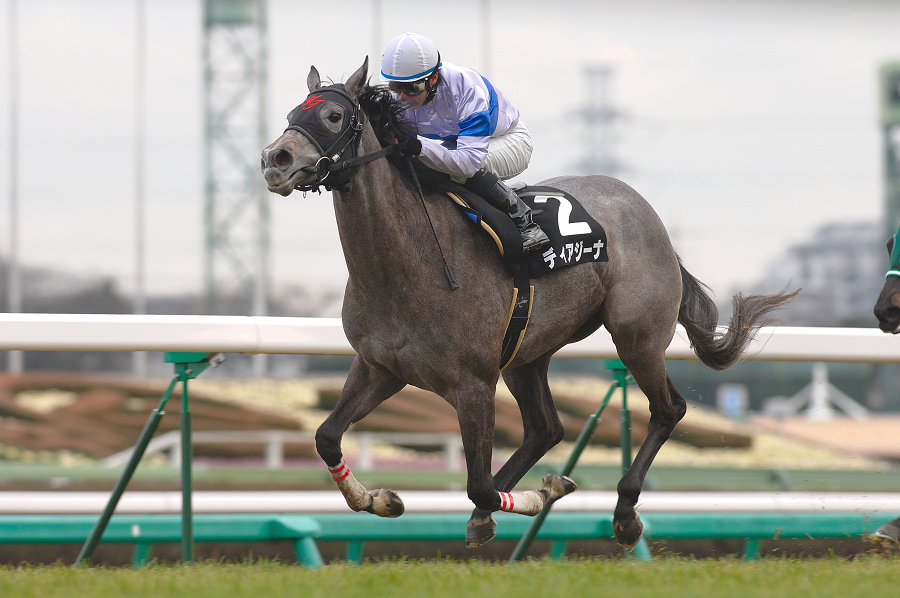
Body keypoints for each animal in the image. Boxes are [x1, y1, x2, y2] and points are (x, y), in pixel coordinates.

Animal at [260, 58, 796, 552]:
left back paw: (624, 512)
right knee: (545, 428)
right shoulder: (380, 367)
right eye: (291, 113)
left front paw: (537, 495)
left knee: (668, 409)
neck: (406, 263)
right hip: (527, 352)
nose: (275, 158)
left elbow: (478, 483)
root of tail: (644, 209)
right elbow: (326, 437)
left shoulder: (473, 382)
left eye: (332, 115)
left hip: (636, 336)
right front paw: (379, 498)